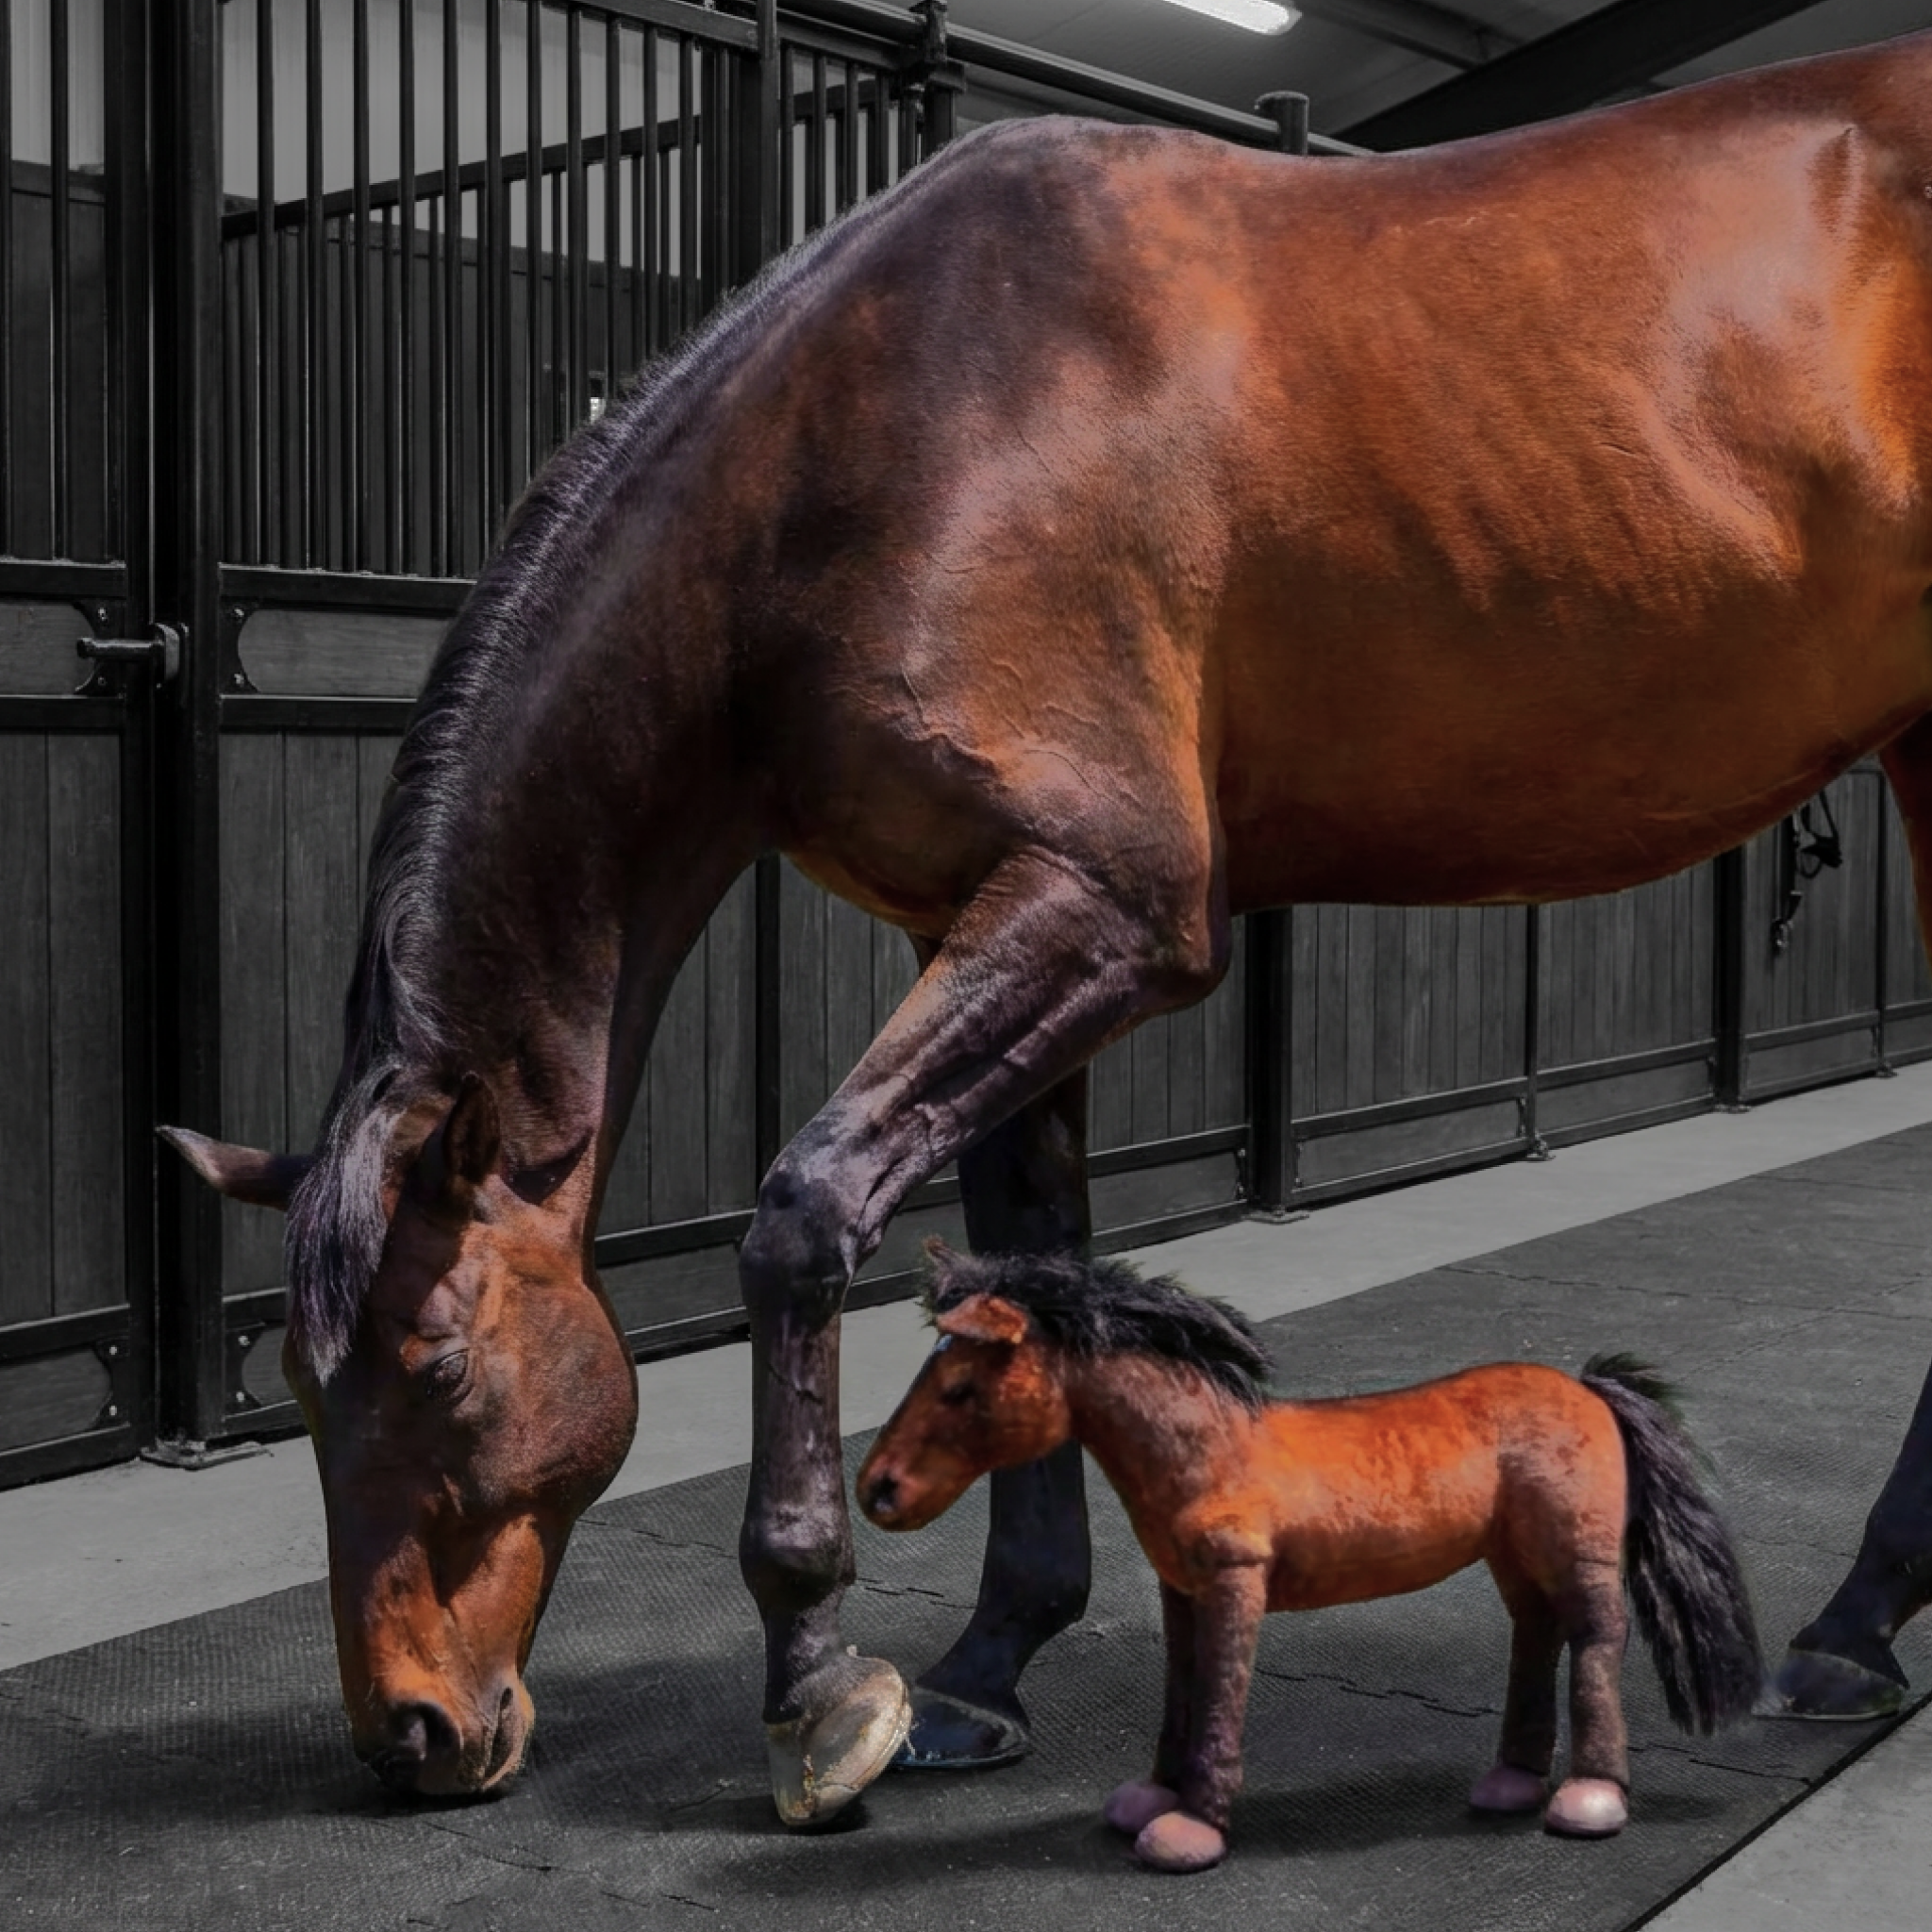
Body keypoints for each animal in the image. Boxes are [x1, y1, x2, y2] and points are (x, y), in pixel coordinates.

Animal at [856, 1244, 1765, 1872]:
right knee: (1538, 1635)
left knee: (1598, 1640)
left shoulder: (1236, 1586)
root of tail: (1586, 1387)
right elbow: (1183, 1686)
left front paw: (1192, 1829)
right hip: (1515, 1555)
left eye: (961, 1390)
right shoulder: (1182, 1590)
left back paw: (1591, 1798)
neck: (1209, 1452)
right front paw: (1151, 1797)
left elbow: (1221, 1696)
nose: (876, 1490)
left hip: (1576, 1551)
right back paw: (1510, 1782)